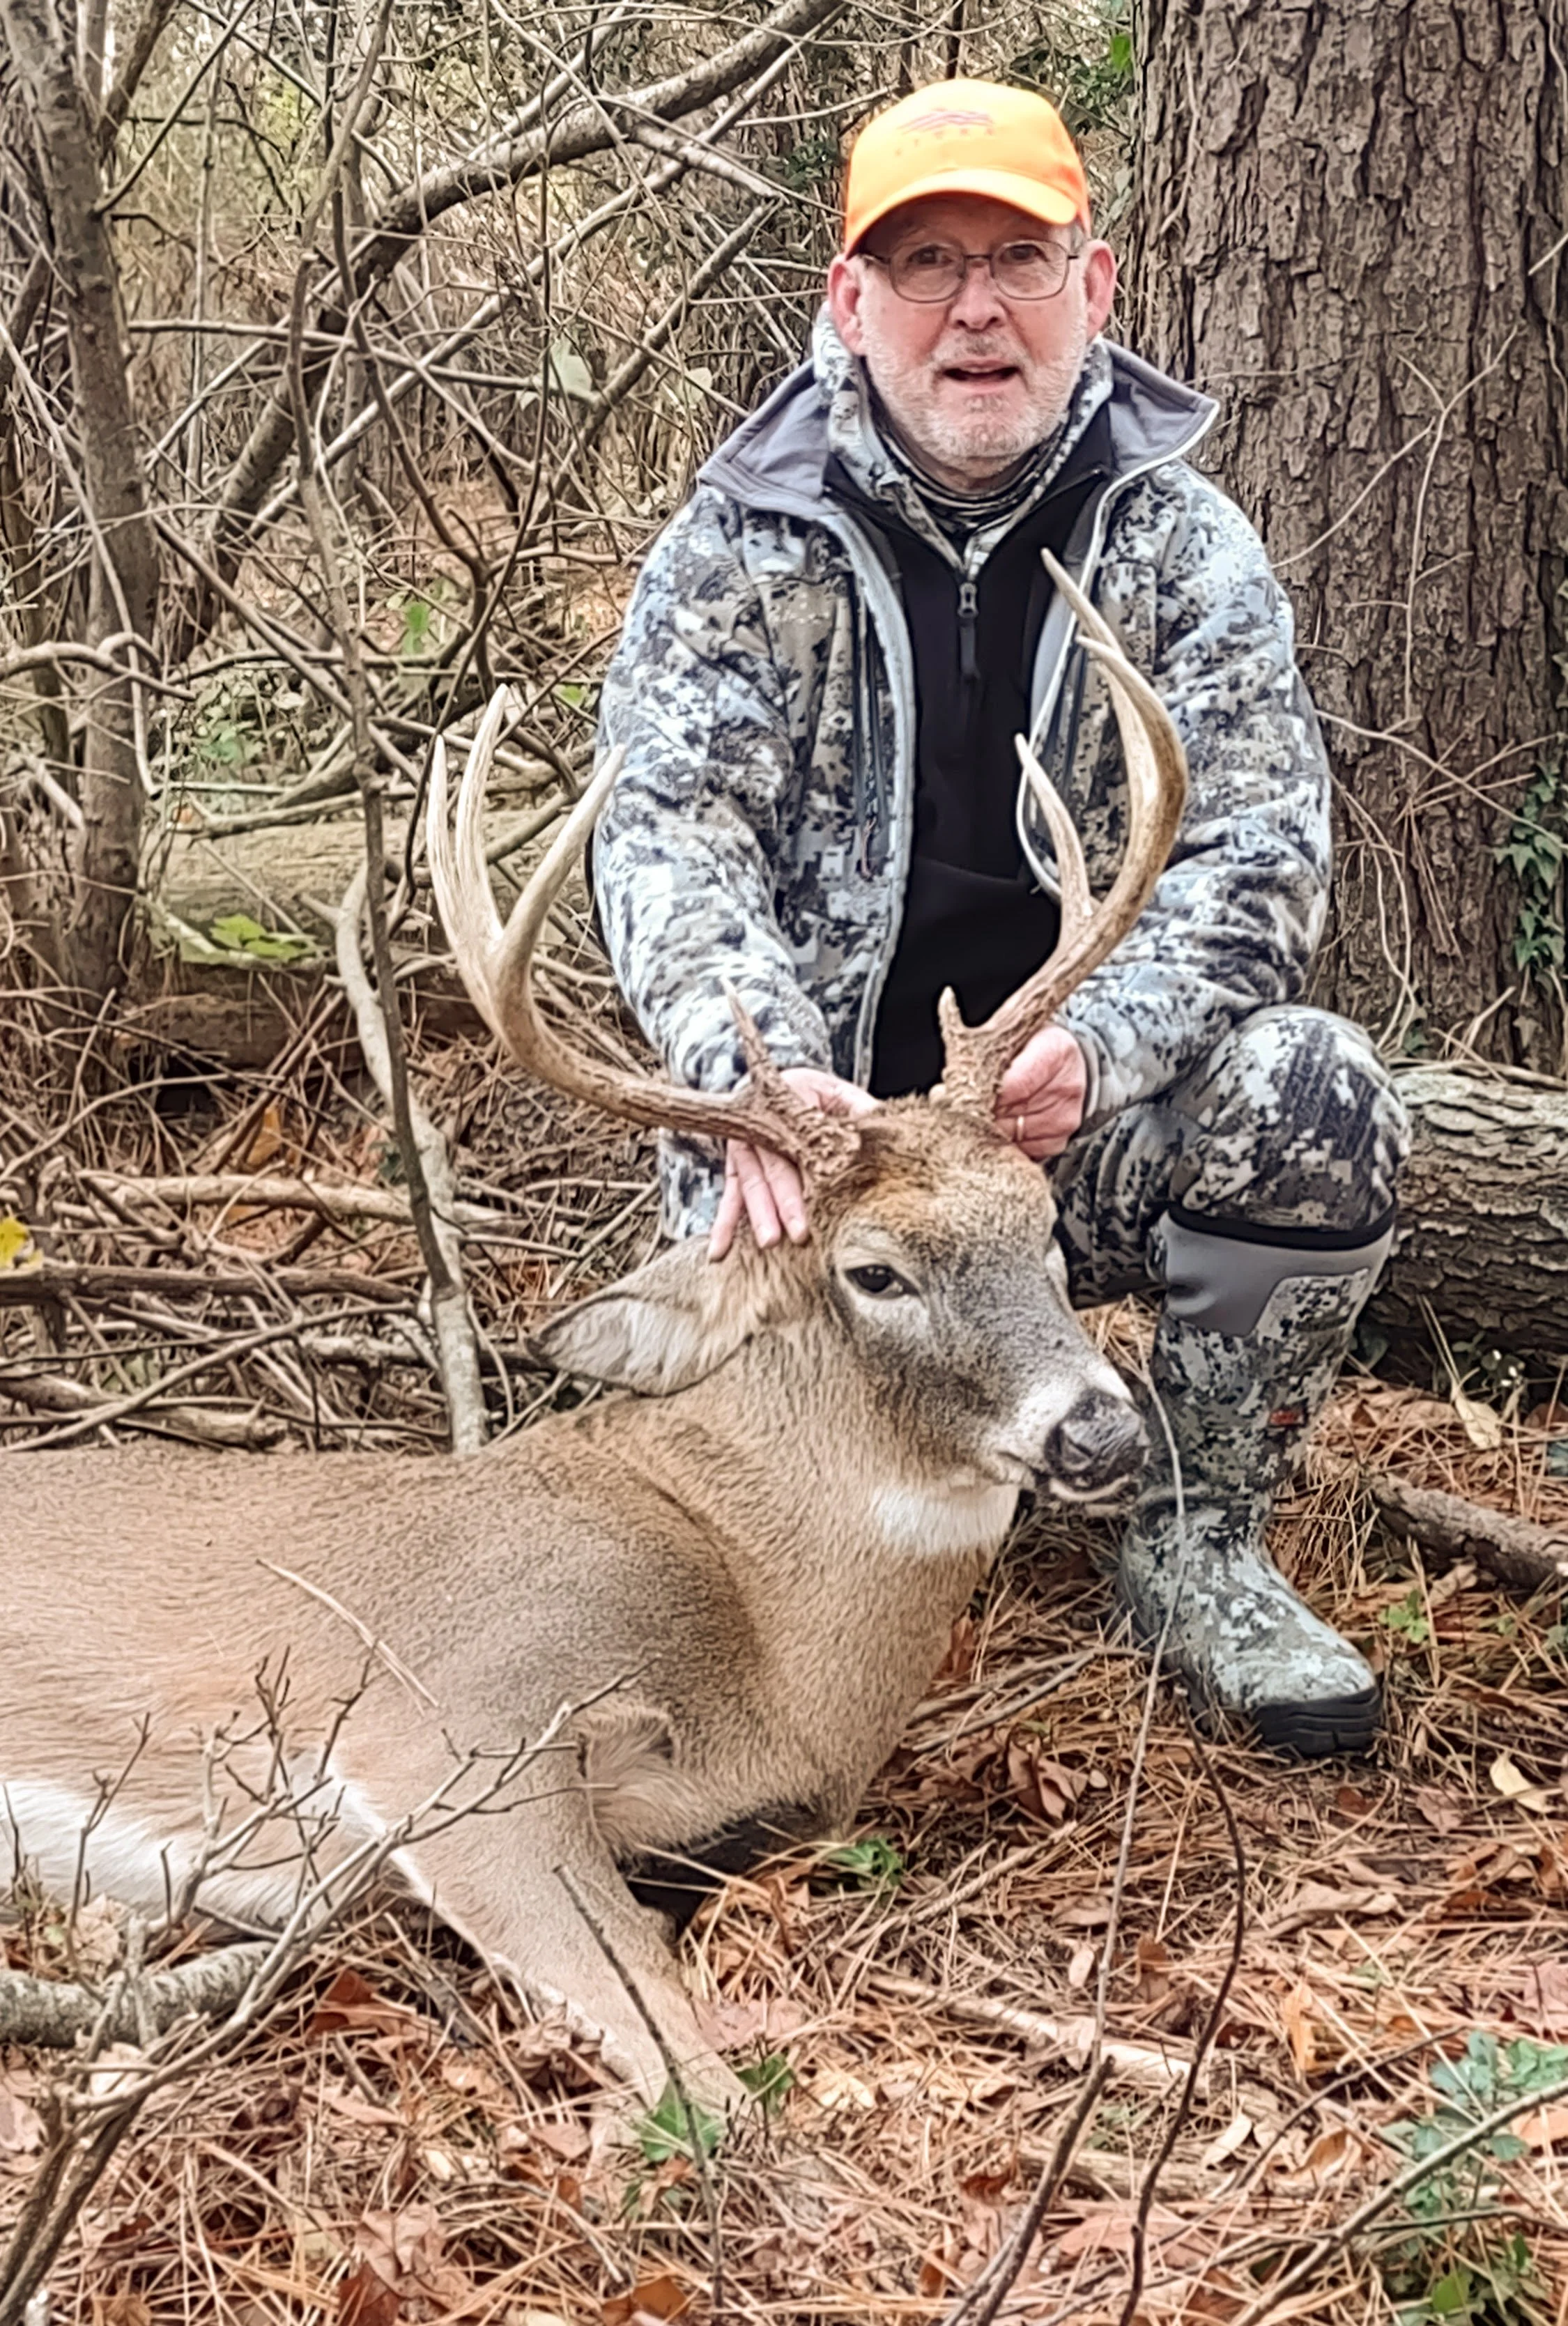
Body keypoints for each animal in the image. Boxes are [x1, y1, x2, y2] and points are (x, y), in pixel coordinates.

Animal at [0, 563, 1185, 2113]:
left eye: (1044, 1219)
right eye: (873, 1270)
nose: (1098, 1424)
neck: (774, 1640)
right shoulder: (451, 1718)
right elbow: (693, 2067)